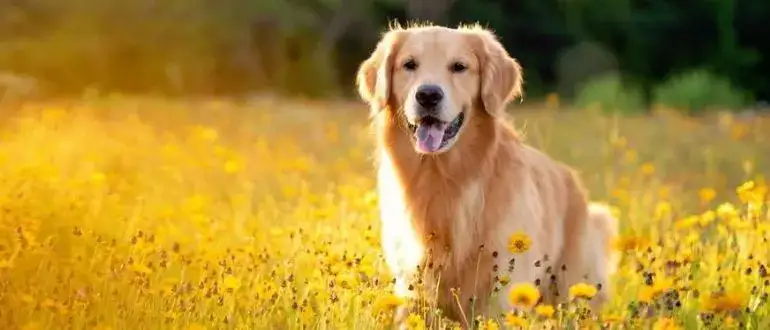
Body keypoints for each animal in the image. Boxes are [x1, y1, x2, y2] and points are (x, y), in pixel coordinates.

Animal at [356, 22, 616, 324]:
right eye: (409, 64)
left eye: (459, 66)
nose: (428, 95)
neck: (444, 179)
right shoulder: (412, 290)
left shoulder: (502, 295)